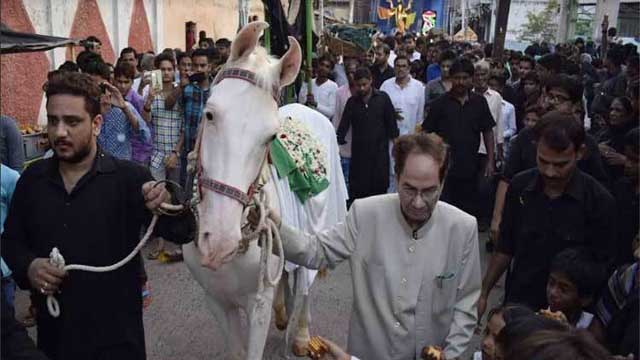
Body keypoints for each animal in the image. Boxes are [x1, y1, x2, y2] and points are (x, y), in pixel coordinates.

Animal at [182, 23, 348, 360]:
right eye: (209, 114)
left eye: (271, 136)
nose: (220, 241)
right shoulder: (216, 301)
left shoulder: (257, 305)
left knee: (306, 282)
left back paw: (302, 336)